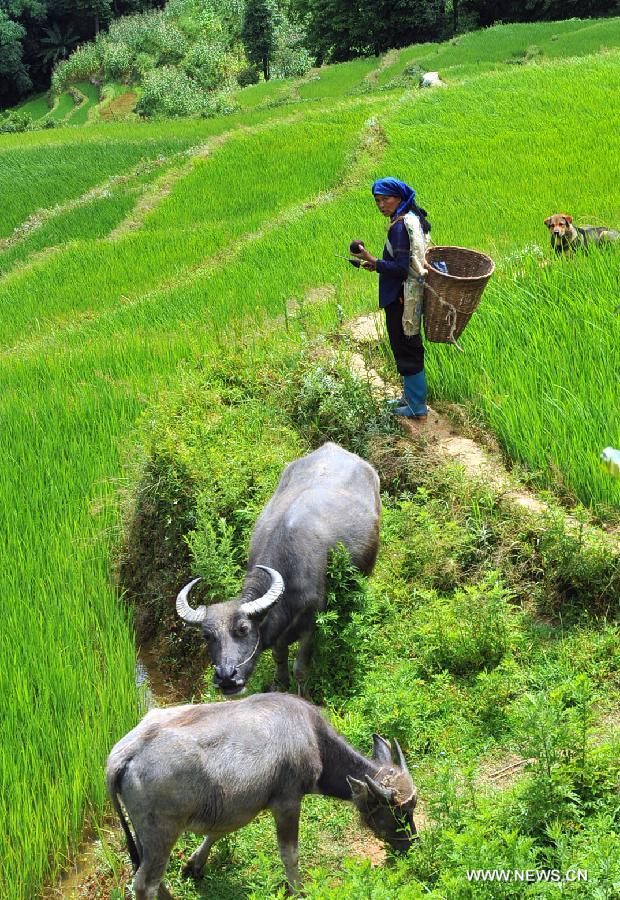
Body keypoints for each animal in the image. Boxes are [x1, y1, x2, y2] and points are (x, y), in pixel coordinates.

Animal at [108, 692, 416, 896]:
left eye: (412, 809)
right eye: (396, 813)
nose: (411, 845)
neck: (314, 740)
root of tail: (122, 754)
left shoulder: (235, 804)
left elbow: (218, 831)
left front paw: (195, 864)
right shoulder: (287, 802)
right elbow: (290, 854)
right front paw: (298, 889)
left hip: (144, 834)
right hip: (162, 832)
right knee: (144, 883)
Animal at [173, 442, 378, 696]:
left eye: (243, 629)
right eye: (207, 635)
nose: (227, 678)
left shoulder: (312, 624)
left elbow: (301, 667)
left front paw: (303, 694)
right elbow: (279, 655)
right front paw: (280, 683)